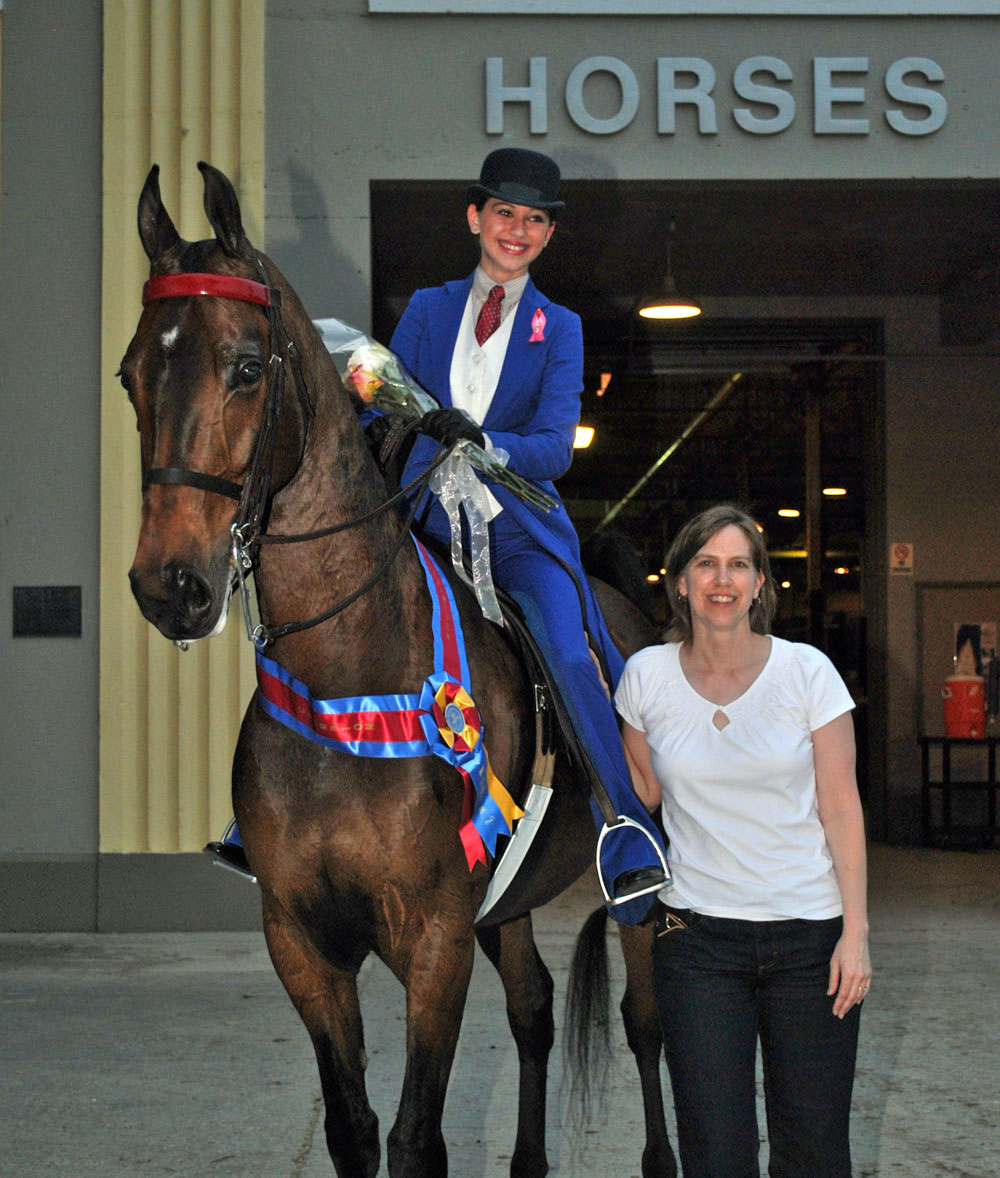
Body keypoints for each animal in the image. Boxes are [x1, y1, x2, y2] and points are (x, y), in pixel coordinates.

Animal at [120, 163, 673, 1178]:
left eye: (246, 367)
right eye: (130, 374)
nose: (169, 586)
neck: (348, 675)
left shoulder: (435, 939)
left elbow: (417, 1138)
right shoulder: (303, 943)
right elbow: (353, 1128)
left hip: (636, 900)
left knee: (646, 1021)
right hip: (507, 906)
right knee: (534, 1011)